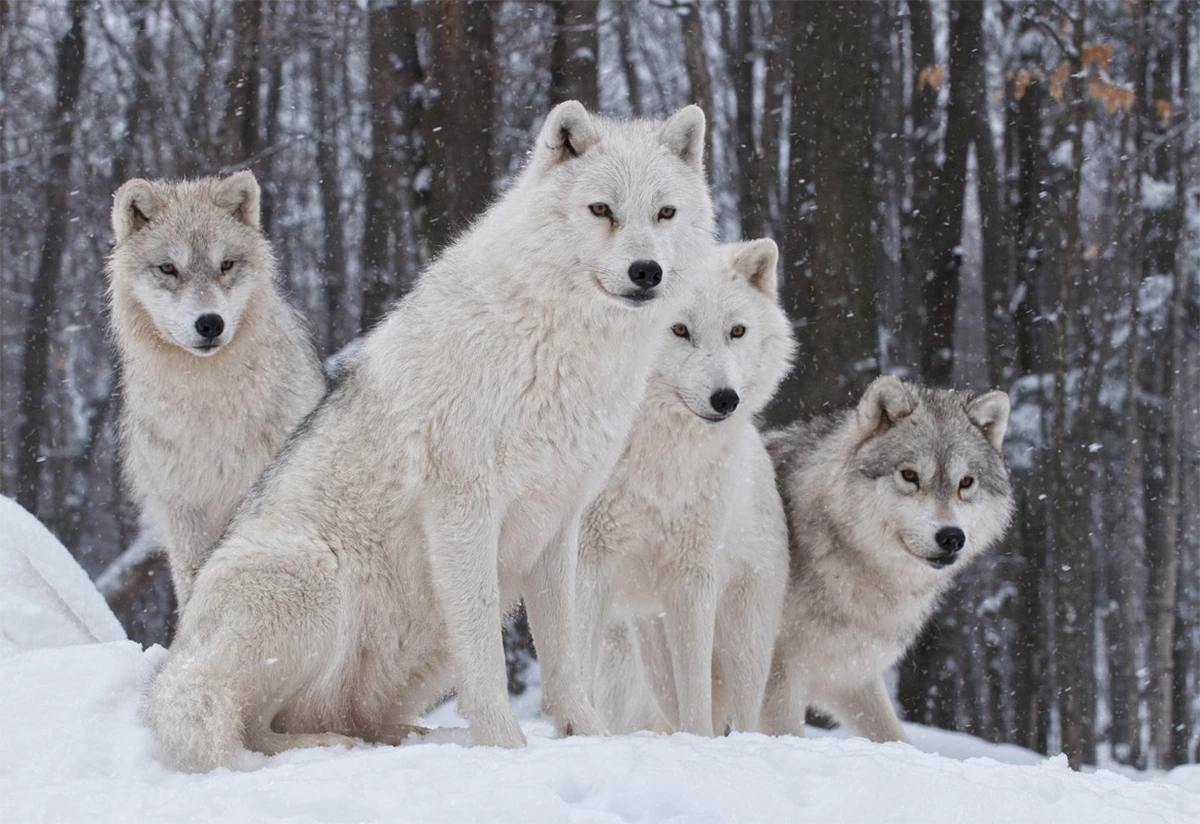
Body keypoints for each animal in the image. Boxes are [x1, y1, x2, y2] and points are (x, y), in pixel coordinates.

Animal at [143, 101, 717, 771]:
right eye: (602, 210)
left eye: (665, 213)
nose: (646, 271)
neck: (557, 345)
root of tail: (177, 659)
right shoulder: (463, 510)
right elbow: (487, 660)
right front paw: (505, 748)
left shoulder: (558, 522)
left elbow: (566, 657)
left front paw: (589, 737)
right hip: (312, 575)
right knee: (249, 725)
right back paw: (328, 745)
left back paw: (408, 737)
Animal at [579, 239, 794, 737]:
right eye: (678, 329)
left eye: (737, 331)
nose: (726, 399)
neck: (658, 457)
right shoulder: (587, 562)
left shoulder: (693, 578)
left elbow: (696, 697)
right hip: (647, 648)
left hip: (743, 640)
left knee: (743, 714)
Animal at [760, 376, 1014, 743]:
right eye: (909, 476)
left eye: (966, 482)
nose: (951, 537)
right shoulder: (777, 676)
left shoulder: (850, 676)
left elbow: (895, 737)